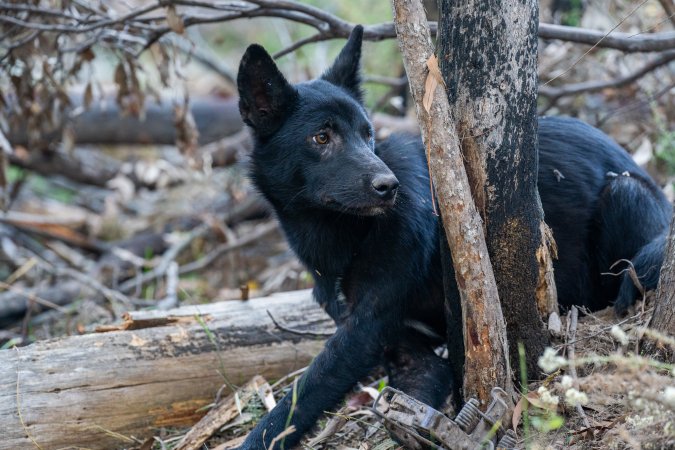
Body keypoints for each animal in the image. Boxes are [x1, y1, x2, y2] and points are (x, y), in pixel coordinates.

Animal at [235, 26, 672, 448]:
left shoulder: (363, 328)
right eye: (321, 138)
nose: (389, 187)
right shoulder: (395, 340)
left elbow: (297, 401)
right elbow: (419, 385)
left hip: (625, 193)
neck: (340, 235)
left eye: (367, 134)